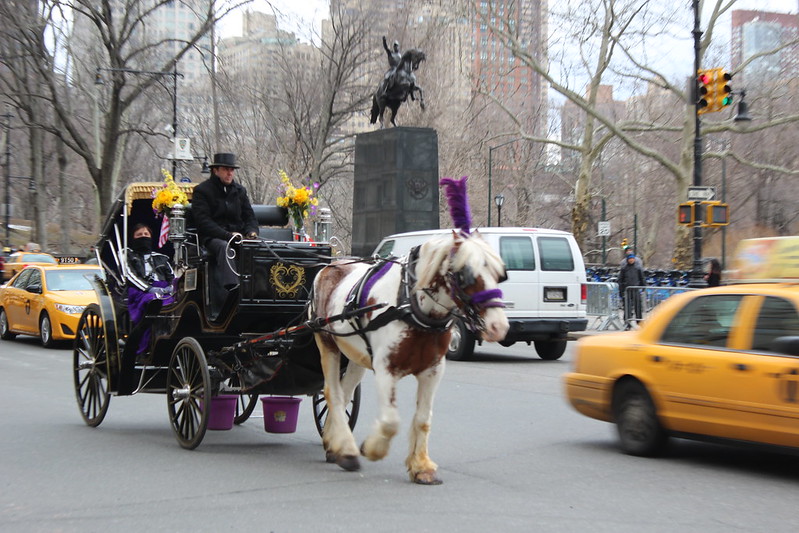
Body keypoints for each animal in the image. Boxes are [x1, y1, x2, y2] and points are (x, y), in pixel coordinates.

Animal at [310, 229, 510, 482]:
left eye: (500, 274)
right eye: (466, 275)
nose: (498, 327)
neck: (410, 305)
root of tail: (331, 265)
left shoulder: (433, 370)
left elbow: (423, 418)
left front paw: (421, 466)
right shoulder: (385, 369)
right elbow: (390, 422)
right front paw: (373, 449)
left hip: (356, 356)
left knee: (344, 392)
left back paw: (333, 443)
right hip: (327, 344)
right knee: (332, 393)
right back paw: (346, 450)